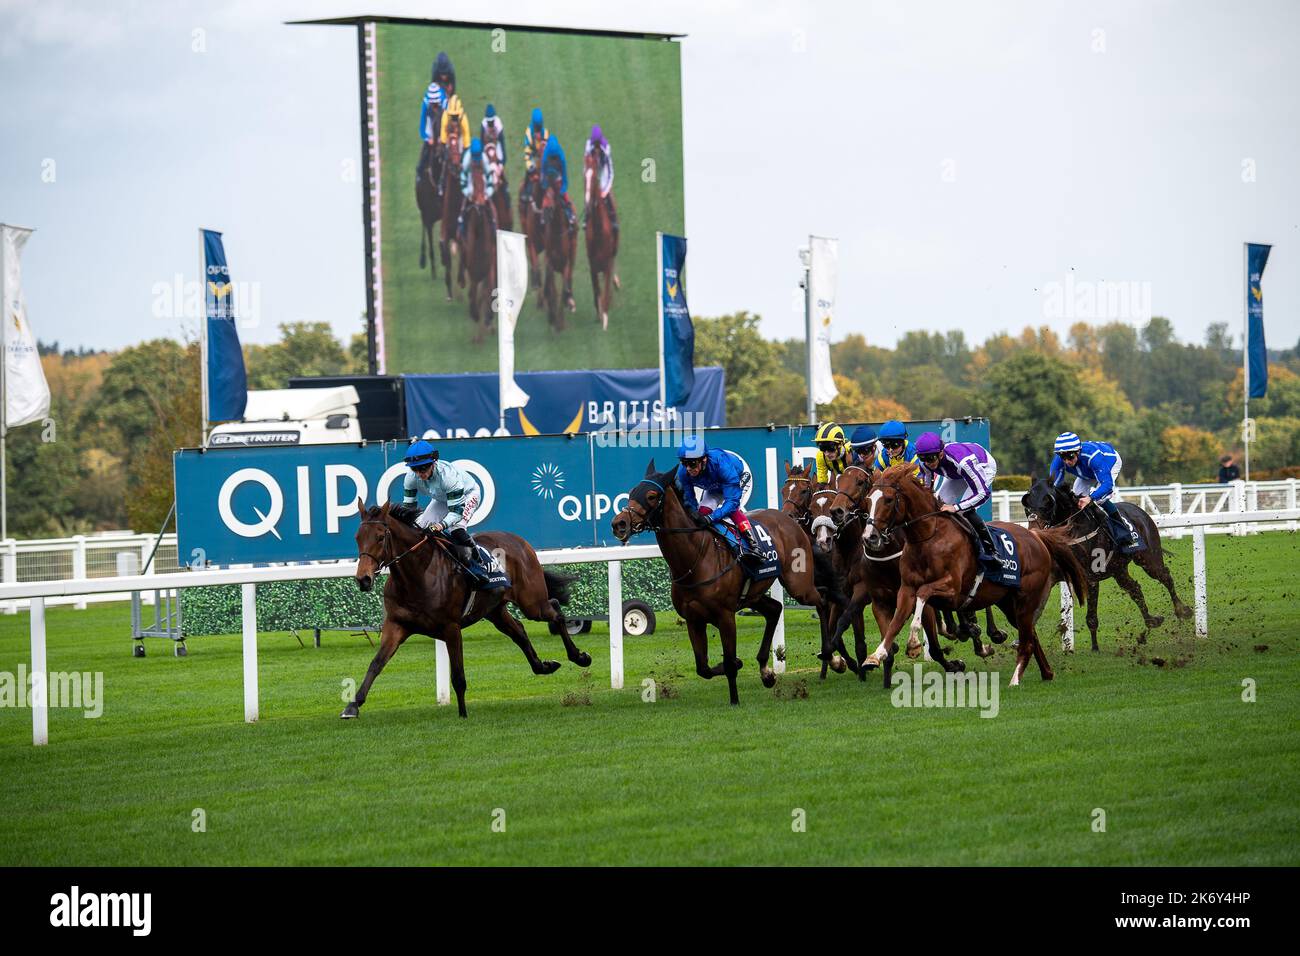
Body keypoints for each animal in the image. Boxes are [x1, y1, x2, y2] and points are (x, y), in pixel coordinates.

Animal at [345, 502, 590, 717]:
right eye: (357, 538)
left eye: (380, 537)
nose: (363, 579)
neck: (418, 574)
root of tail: (518, 539)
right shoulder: (397, 625)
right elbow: (376, 664)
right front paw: (353, 705)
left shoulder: (451, 627)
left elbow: (458, 676)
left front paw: (463, 714)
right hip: (494, 610)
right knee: (519, 631)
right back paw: (544, 666)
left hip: (532, 602)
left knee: (555, 610)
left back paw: (580, 657)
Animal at [611, 460, 832, 707]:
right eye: (631, 492)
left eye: (651, 496)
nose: (619, 523)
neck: (696, 558)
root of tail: (788, 519)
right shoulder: (694, 619)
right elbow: (704, 668)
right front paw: (739, 663)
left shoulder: (725, 615)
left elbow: (727, 663)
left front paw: (734, 699)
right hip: (753, 595)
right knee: (775, 609)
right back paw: (766, 671)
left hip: (798, 583)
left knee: (822, 601)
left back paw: (832, 656)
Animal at [863, 465, 1086, 686]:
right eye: (868, 499)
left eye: (888, 500)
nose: (869, 537)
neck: (928, 537)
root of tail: (1036, 536)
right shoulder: (906, 589)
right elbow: (895, 622)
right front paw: (876, 656)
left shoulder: (951, 590)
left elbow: (924, 593)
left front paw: (914, 642)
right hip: (1007, 602)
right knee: (1031, 635)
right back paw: (1046, 672)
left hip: (1026, 598)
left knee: (1027, 641)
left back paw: (1015, 679)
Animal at [1019, 478, 1190, 650]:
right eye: (1027, 506)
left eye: (1048, 503)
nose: (1034, 532)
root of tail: (1140, 511)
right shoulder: (1054, 575)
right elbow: (1036, 607)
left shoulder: (1090, 578)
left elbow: (1091, 617)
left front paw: (1095, 648)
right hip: (1119, 569)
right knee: (1135, 589)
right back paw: (1151, 621)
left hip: (1149, 560)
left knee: (1166, 577)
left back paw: (1182, 610)